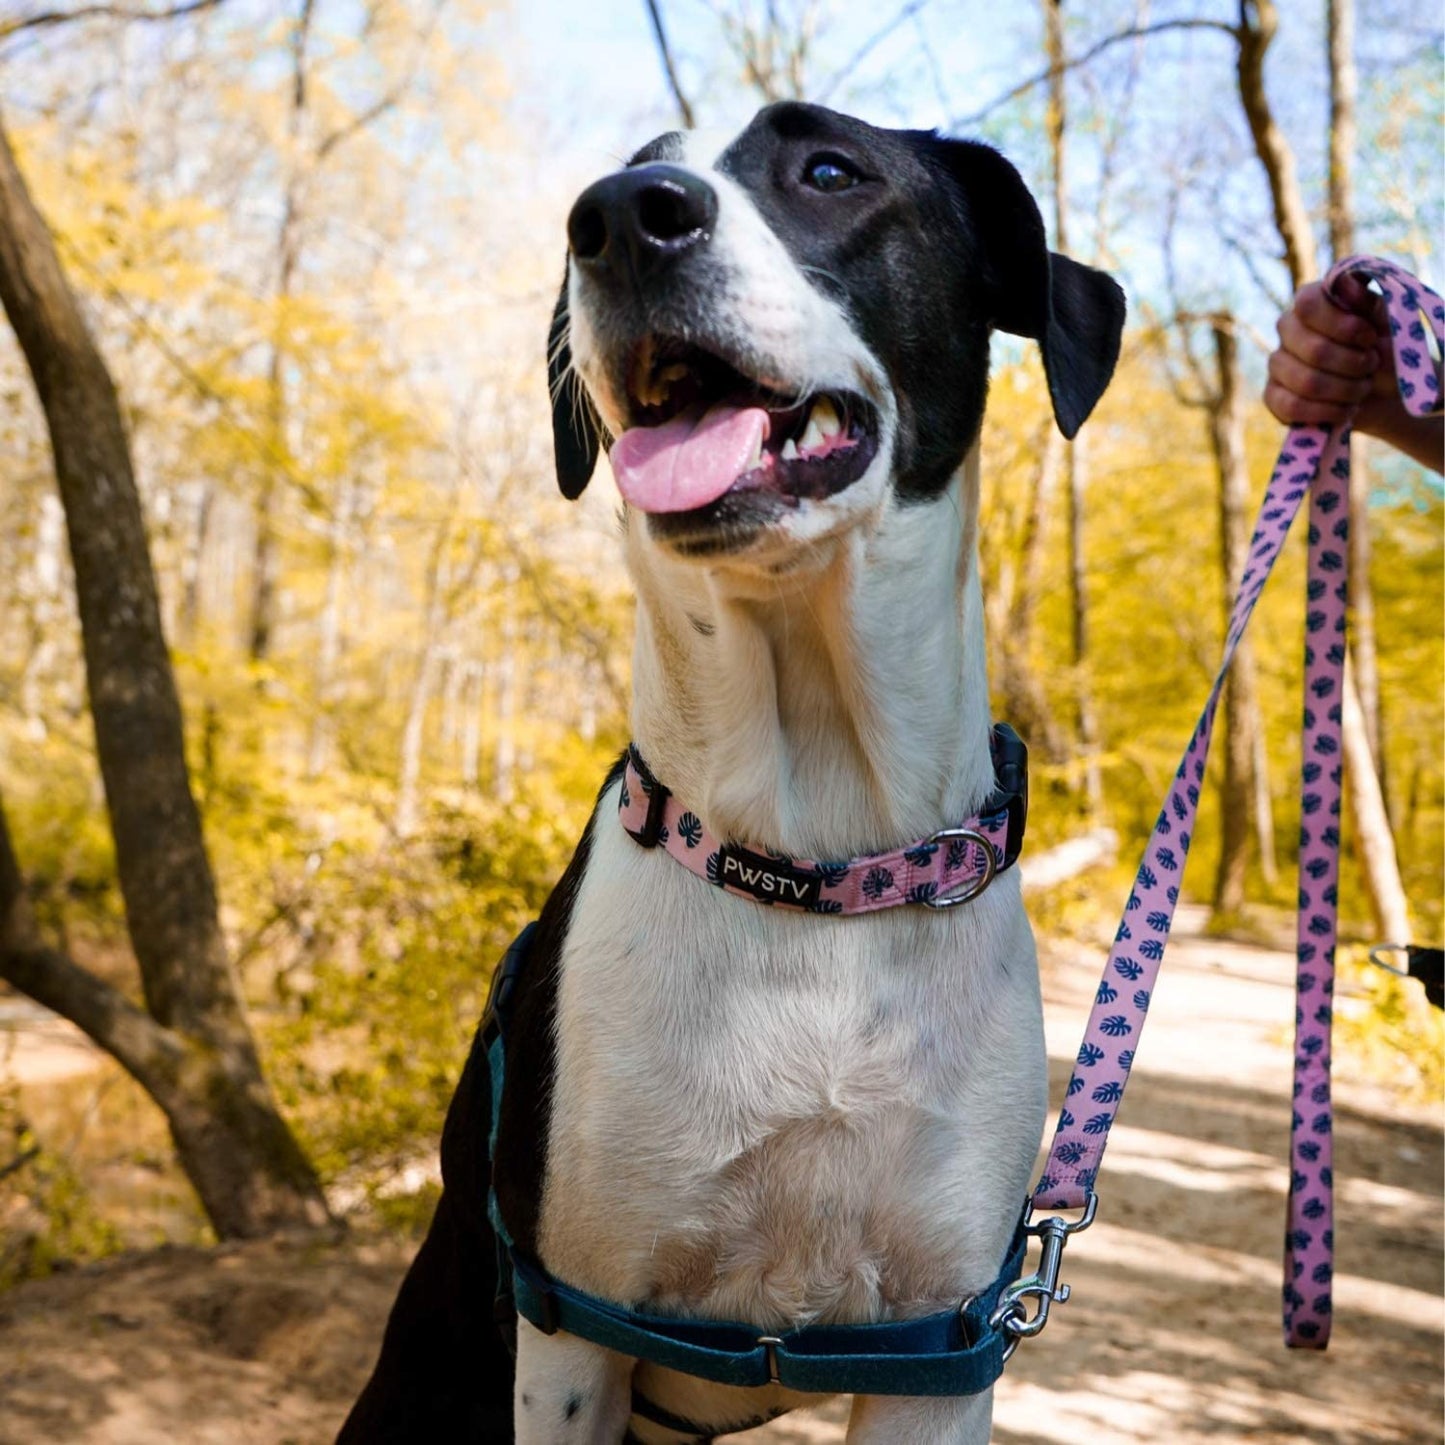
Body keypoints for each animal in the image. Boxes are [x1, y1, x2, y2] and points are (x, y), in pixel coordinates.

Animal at [341, 104, 1127, 1445]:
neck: (817, 862)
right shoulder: (572, 1326)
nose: (618, 216)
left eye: (828, 170)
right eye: (621, 175)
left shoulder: (942, 1352)